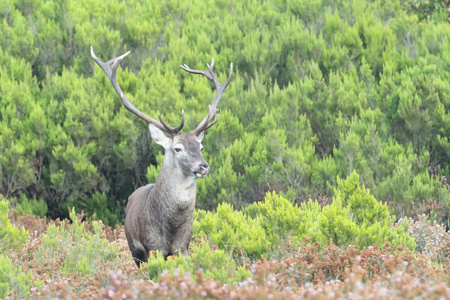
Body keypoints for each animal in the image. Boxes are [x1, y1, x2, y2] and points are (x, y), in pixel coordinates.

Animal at [90, 47, 234, 268]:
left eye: (200, 146)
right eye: (177, 148)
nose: (203, 166)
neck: (171, 229)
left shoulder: (184, 246)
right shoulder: (152, 247)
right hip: (134, 249)